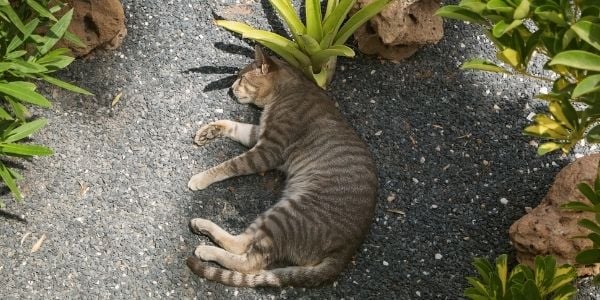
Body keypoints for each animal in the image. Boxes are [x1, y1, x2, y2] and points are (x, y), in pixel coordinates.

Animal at [185, 45, 378, 288]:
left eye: (242, 78)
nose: (231, 88)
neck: (289, 89)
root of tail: (347, 250)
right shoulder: (259, 134)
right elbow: (233, 125)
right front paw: (209, 131)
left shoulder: (267, 150)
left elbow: (229, 165)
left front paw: (201, 177)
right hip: (274, 214)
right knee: (243, 244)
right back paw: (202, 226)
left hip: (285, 217)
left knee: (250, 262)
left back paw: (206, 248)